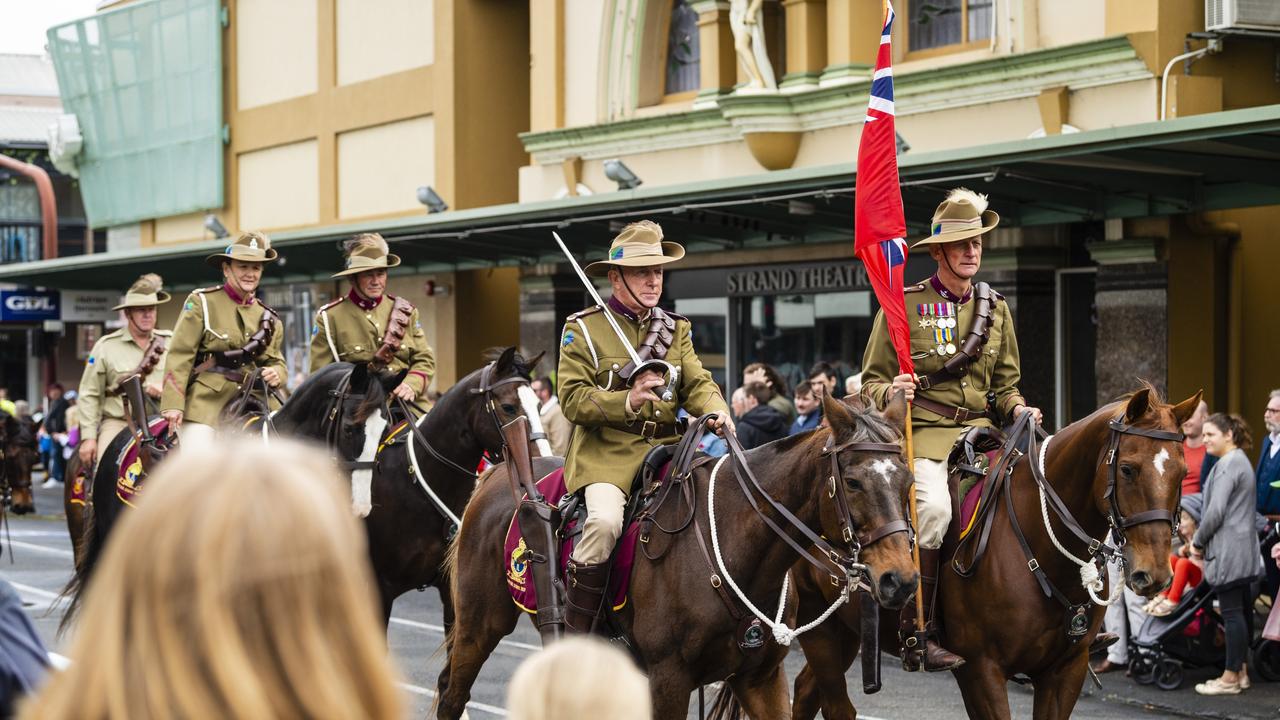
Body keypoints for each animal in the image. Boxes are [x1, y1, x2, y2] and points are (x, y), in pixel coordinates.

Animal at [437, 392, 921, 717]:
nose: (900, 580)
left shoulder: (761, 679)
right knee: (451, 693)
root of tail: (494, 475)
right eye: (853, 482)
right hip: (480, 626)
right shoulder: (668, 679)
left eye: (908, 480)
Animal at [788, 384, 1198, 712]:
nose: (1154, 573)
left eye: (1181, 472)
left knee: (805, 690)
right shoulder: (981, 672)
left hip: (845, 630)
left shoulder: (1066, 670)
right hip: (819, 630)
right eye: (1128, 469)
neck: (1039, 547)